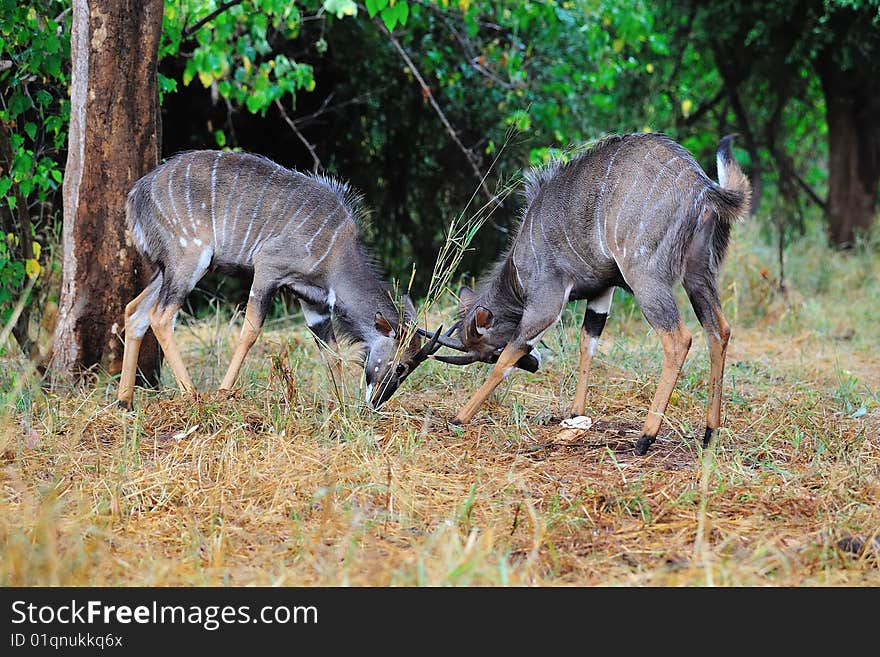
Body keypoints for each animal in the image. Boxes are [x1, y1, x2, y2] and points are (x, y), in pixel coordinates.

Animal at [117, 152, 444, 410]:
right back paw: (192, 394)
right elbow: (250, 331)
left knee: (135, 312)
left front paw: (340, 407)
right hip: (190, 259)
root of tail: (136, 195)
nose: (376, 402)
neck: (337, 254)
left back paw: (125, 402)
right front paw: (224, 392)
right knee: (161, 316)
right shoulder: (267, 269)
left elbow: (331, 352)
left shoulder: (313, 301)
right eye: (401, 366)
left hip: (167, 269)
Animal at [424, 131, 748, 454]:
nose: (534, 366)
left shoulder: (546, 301)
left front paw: (459, 417)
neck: (517, 270)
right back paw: (710, 434)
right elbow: (587, 344)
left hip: (646, 278)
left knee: (679, 339)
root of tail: (702, 186)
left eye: (489, 354)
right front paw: (576, 414)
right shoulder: (601, 292)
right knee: (719, 330)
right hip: (698, 275)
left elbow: (509, 359)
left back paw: (645, 438)